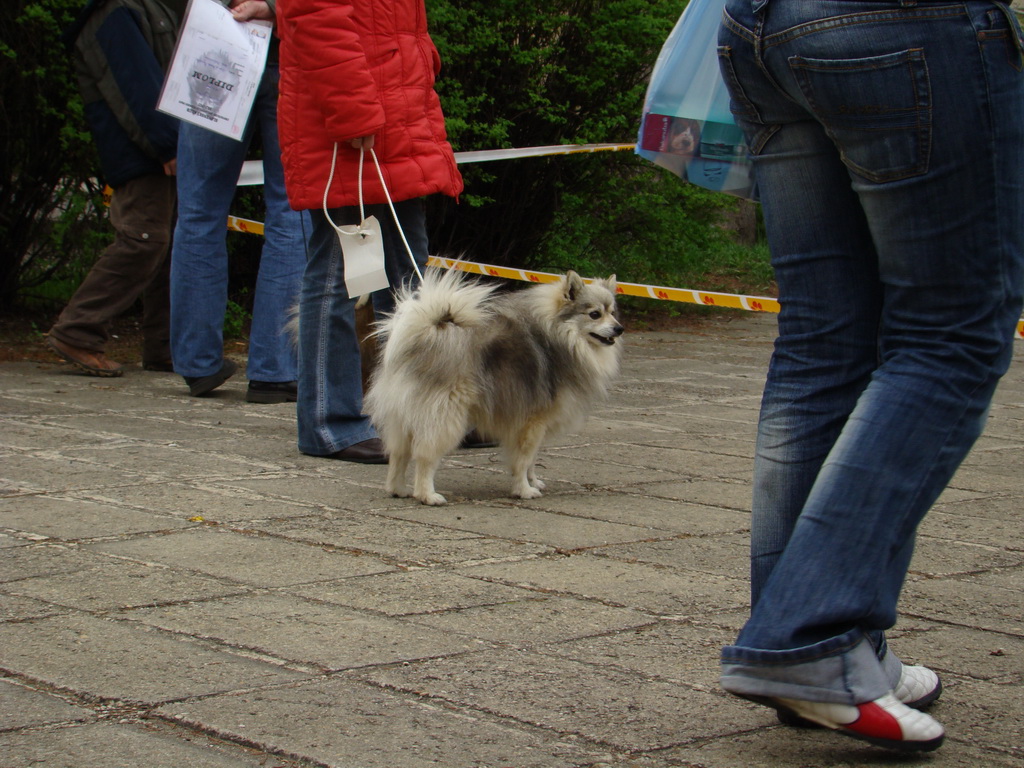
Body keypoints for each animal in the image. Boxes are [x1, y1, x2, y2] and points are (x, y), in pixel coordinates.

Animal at [366, 268, 622, 507]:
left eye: (612, 313)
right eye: (595, 314)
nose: (619, 329)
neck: (561, 336)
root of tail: (423, 337)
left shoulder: (533, 426)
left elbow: (531, 460)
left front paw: (533, 481)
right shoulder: (531, 423)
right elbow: (523, 460)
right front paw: (524, 490)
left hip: (403, 418)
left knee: (398, 454)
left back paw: (398, 489)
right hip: (445, 418)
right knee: (424, 457)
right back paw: (427, 495)